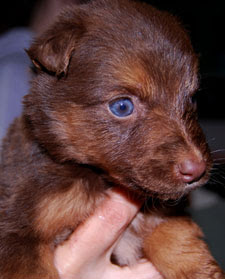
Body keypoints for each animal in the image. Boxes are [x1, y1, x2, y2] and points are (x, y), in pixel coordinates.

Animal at [0, 0, 223, 279]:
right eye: (122, 106)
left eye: (192, 98)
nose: (197, 170)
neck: (101, 180)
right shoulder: (18, 232)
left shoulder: (166, 208)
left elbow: (175, 233)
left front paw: (199, 269)